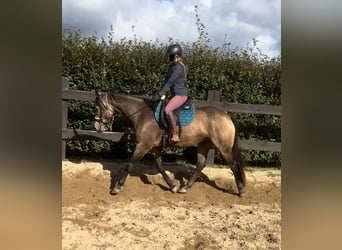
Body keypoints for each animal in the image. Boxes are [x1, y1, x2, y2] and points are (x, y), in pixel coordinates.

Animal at [93, 92, 246, 195]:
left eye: (97, 107)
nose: (97, 127)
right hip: (204, 144)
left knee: (233, 165)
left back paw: (241, 190)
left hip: (223, 147)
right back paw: (185, 188)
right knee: (200, 165)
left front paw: (116, 187)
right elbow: (160, 166)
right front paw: (172, 186)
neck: (142, 114)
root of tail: (226, 116)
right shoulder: (154, 148)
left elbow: (129, 164)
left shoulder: (143, 145)